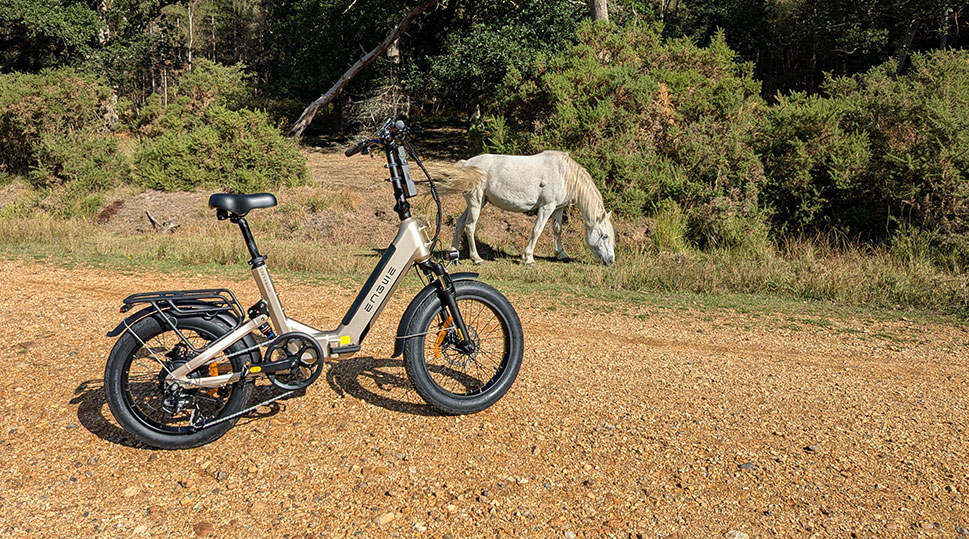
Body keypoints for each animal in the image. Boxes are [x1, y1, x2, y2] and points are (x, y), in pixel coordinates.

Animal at [432, 151, 615, 266]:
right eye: (605, 236)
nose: (611, 261)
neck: (564, 174)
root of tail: (466, 164)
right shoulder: (546, 207)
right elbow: (537, 231)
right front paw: (529, 258)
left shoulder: (558, 208)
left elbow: (557, 230)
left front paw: (561, 254)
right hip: (475, 202)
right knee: (470, 226)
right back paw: (476, 259)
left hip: (478, 202)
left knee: (460, 223)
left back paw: (454, 255)